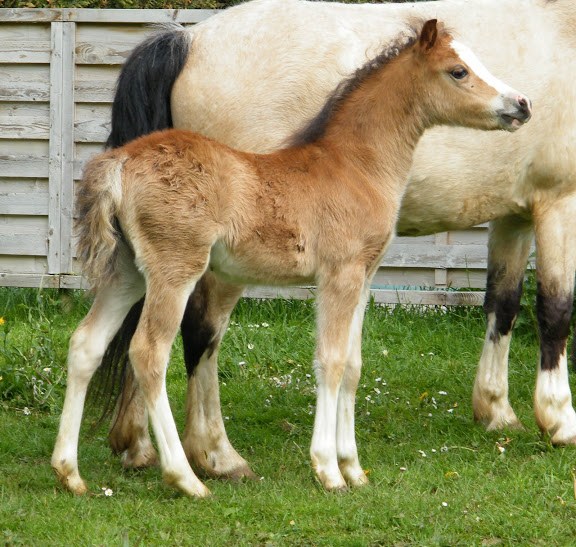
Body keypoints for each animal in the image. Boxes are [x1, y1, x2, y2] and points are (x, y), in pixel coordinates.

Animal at [51, 21, 528, 498]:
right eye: (458, 71)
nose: (521, 104)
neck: (355, 166)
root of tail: (119, 164)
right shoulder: (339, 275)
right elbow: (330, 362)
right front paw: (328, 470)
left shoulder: (364, 279)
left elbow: (353, 365)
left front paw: (355, 470)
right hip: (175, 269)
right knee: (149, 352)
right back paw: (187, 478)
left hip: (127, 271)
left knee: (85, 344)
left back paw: (70, 473)